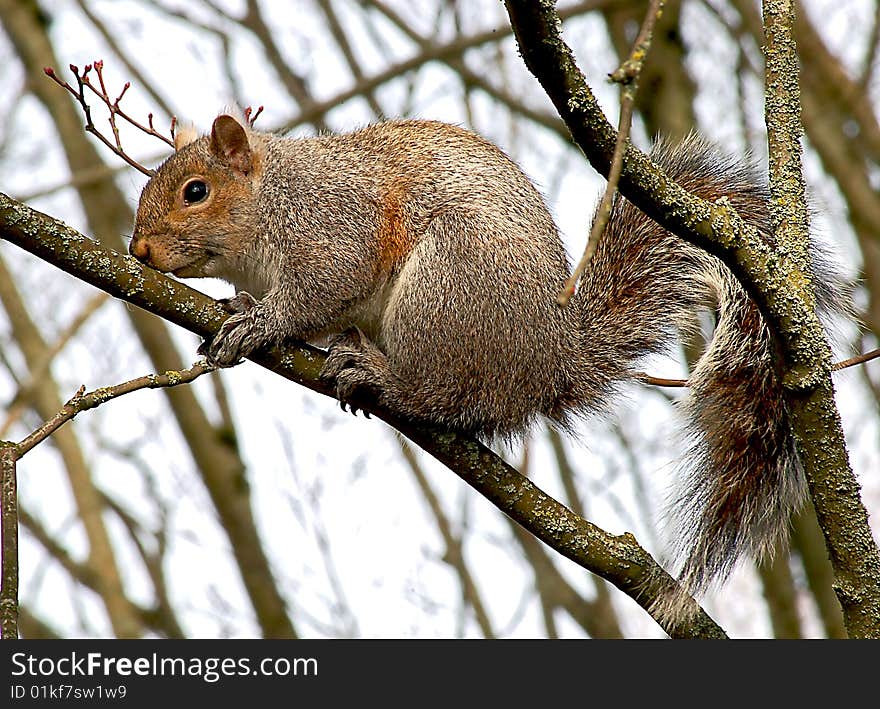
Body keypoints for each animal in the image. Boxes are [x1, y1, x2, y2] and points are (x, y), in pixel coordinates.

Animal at [129, 116, 844, 604]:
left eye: (195, 191)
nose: (137, 251)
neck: (275, 195)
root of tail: (550, 359)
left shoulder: (334, 231)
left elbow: (322, 290)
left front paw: (258, 322)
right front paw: (242, 305)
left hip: (444, 288)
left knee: (443, 395)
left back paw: (382, 376)